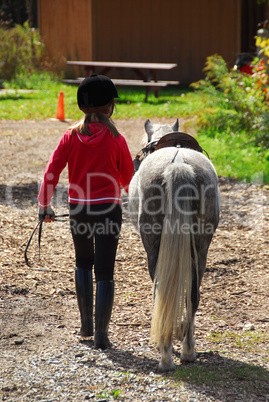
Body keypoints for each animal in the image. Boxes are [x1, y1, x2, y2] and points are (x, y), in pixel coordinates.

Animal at [129, 119, 219, 370]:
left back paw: (166, 356)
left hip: (153, 246)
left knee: (161, 292)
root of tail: (178, 165)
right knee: (193, 295)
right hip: (201, 247)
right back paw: (188, 351)